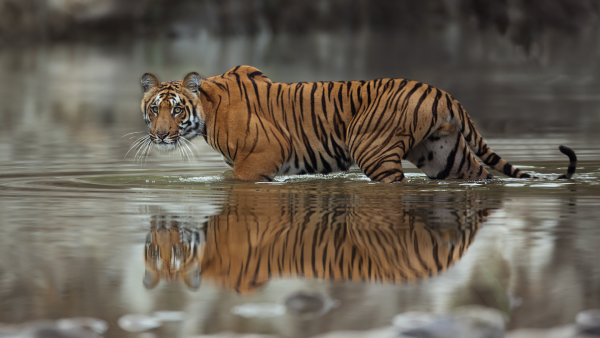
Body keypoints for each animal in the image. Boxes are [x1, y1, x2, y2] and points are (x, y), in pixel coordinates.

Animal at [139, 65, 576, 182]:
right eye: (154, 110)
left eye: (176, 110)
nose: (159, 135)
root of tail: (443, 94)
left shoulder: (258, 160)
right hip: (444, 155)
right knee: (480, 177)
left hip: (374, 150)